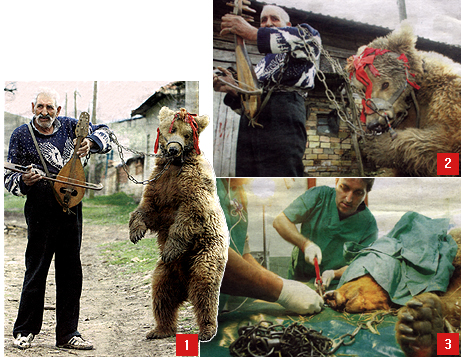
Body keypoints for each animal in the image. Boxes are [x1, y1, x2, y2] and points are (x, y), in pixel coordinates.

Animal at [127, 105, 228, 340]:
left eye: (187, 133)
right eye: (170, 129)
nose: (173, 149)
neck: (174, 165)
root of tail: (185, 284)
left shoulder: (193, 183)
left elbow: (190, 212)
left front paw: (171, 248)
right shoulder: (159, 183)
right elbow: (148, 209)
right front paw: (136, 232)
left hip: (206, 252)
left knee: (205, 287)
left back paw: (207, 329)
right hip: (167, 272)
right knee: (162, 294)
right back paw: (159, 330)